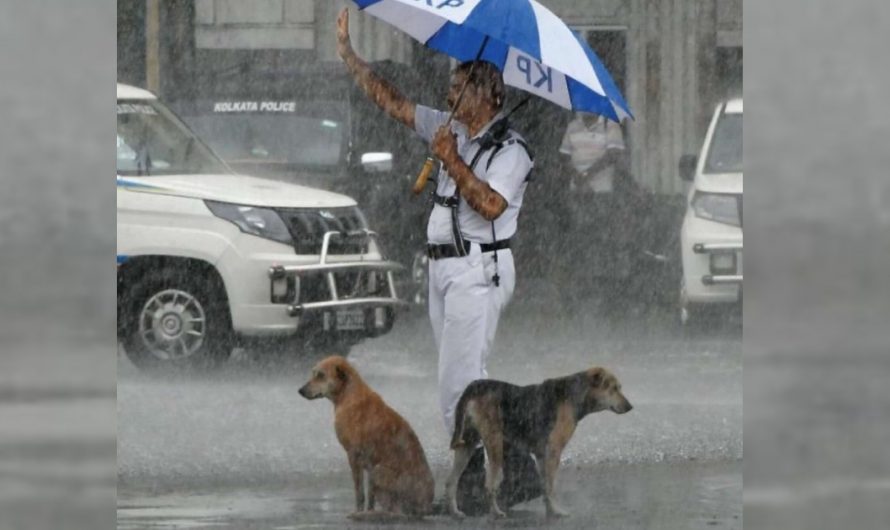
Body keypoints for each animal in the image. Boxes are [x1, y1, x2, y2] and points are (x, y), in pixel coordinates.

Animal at [298, 352, 434, 516]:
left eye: (321, 375)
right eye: (314, 373)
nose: (300, 390)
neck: (348, 395)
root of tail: (426, 506)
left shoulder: (353, 455)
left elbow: (360, 492)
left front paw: (358, 511)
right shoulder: (368, 463)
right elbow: (370, 496)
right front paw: (367, 510)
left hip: (378, 471)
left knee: (396, 509)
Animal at [444, 366, 632, 516]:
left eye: (619, 388)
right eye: (613, 388)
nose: (630, 407)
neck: (575, 394)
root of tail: (475, 385)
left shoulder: (542, 455)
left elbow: (544, 486)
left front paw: (550, 511)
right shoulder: (554, 452)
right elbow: (550, 487)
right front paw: (557, 512)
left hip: (467, 444)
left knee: (451, 482)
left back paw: (455, 512)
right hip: (495, 443)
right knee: (489, 485)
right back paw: (496, 513)